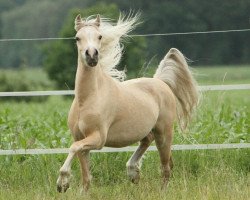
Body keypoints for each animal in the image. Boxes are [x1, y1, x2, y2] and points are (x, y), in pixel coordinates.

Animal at [57, 13, 199, 192]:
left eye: (99, 36)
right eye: (77, 38)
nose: (92, 56)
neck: (88, 99)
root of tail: (161, 82)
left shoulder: (98, 138)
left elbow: (73, 148)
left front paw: (62, 183)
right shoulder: (80, 137)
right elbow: (86, 176)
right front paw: (76, 189)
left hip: (164, 133)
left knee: (166, 167)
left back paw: (161, 190)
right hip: (148, 130)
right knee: (147, 141)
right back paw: (133, 172)